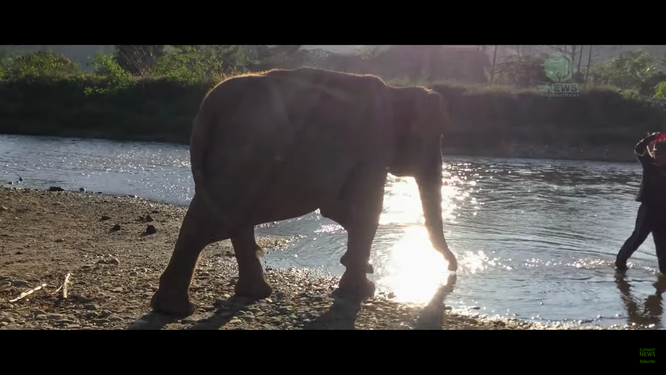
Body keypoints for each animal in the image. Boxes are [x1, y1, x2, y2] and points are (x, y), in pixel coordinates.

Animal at [149, 66, 456, 316]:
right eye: (436, 138)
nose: (452, 269)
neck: (397, 91)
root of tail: (209, 106)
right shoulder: (373, 147)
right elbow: (365, 210)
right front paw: (362, 290)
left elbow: (340, 209)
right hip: (242, 157)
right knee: (212, 221)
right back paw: (177, 309)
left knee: (230, 219)